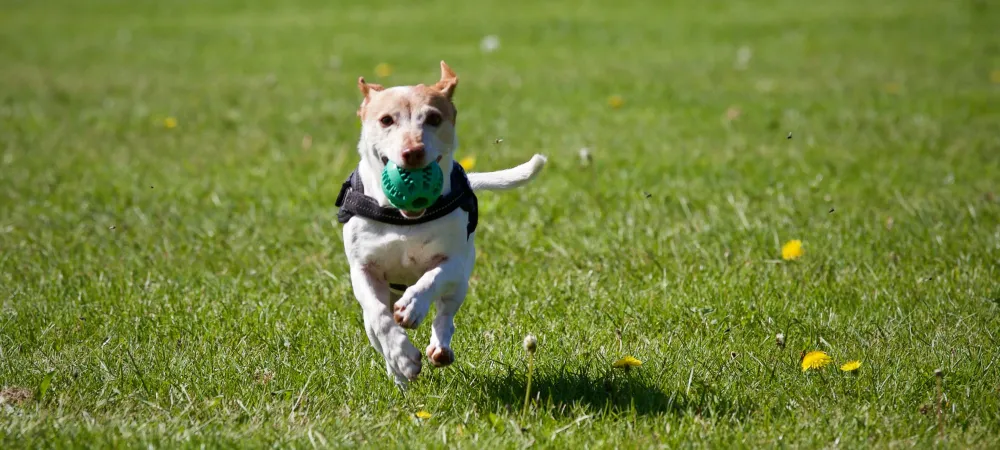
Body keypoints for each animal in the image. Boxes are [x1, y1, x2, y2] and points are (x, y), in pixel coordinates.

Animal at [336, 61, 548, 388]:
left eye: (434, 118)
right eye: (386, 120)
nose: (413, 152)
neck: (403, 219)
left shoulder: (454, 261)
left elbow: (432, 278)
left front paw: (413, 306)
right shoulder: (363, 270)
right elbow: (380, 318)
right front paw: (402, 357)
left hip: (461, 283)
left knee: (445, 314)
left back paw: (439, 347)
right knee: (376, 329)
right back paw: (398, 375)